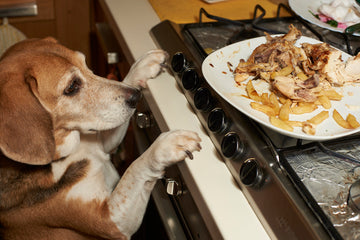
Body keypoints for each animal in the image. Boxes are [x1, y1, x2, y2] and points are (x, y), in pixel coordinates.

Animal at [0, 38, 201, 240]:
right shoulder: (110, 221)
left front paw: (143, 66)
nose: (136, 96)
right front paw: (165, 146)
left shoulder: (103, 142)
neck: (67, 156)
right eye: (71, 87)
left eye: (86, 64)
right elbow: (135, 167)